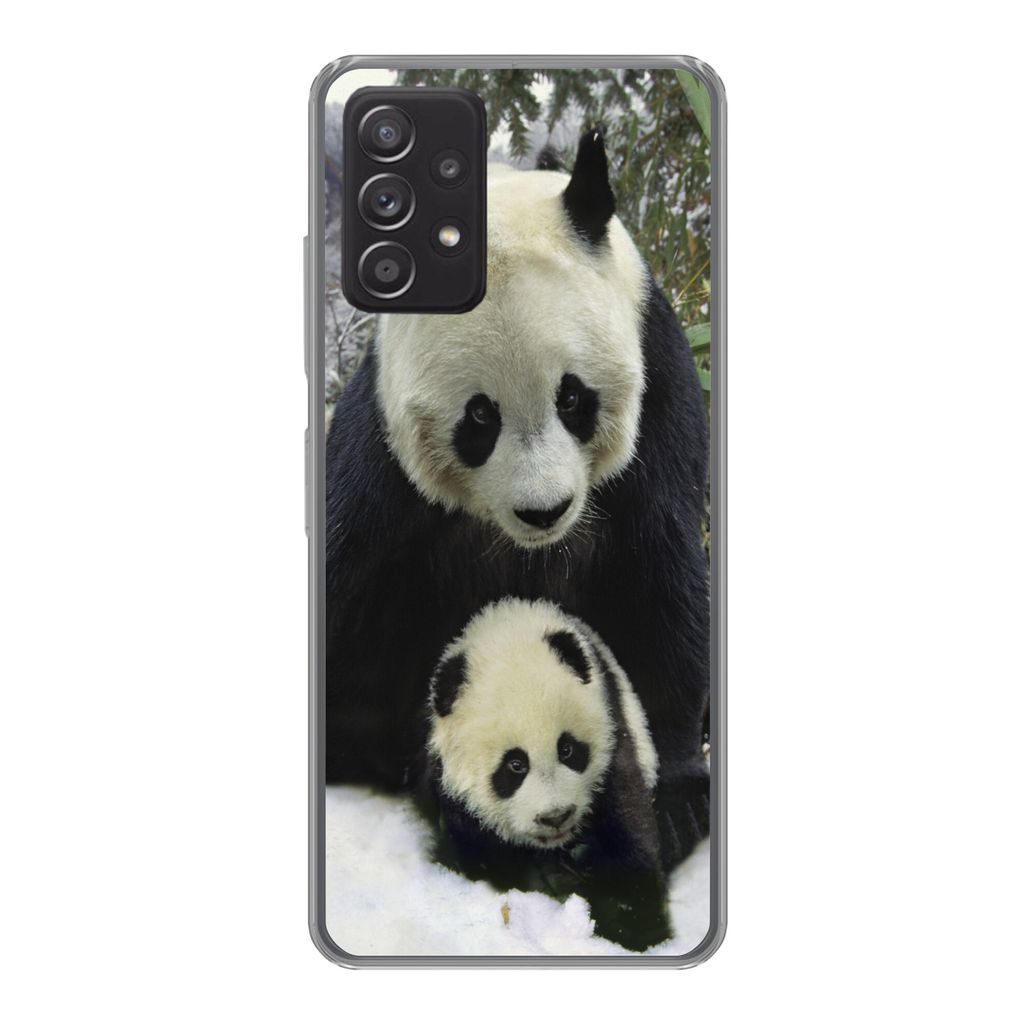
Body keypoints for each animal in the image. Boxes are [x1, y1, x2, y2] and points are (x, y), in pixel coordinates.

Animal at [325, 127, 710, 867]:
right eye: (480, 416)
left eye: (573, 398)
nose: (544, 510)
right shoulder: (381, 462)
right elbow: (345, 580)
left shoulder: (661, 404)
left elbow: (659, 582)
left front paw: (673, 801)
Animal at [421, 598, 671, 951]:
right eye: (515, 765)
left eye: (566, 749)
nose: (555, 817)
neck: (507, 624)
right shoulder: (454, 792)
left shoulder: (614, 735)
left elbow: (628, 825)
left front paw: (635, 924)